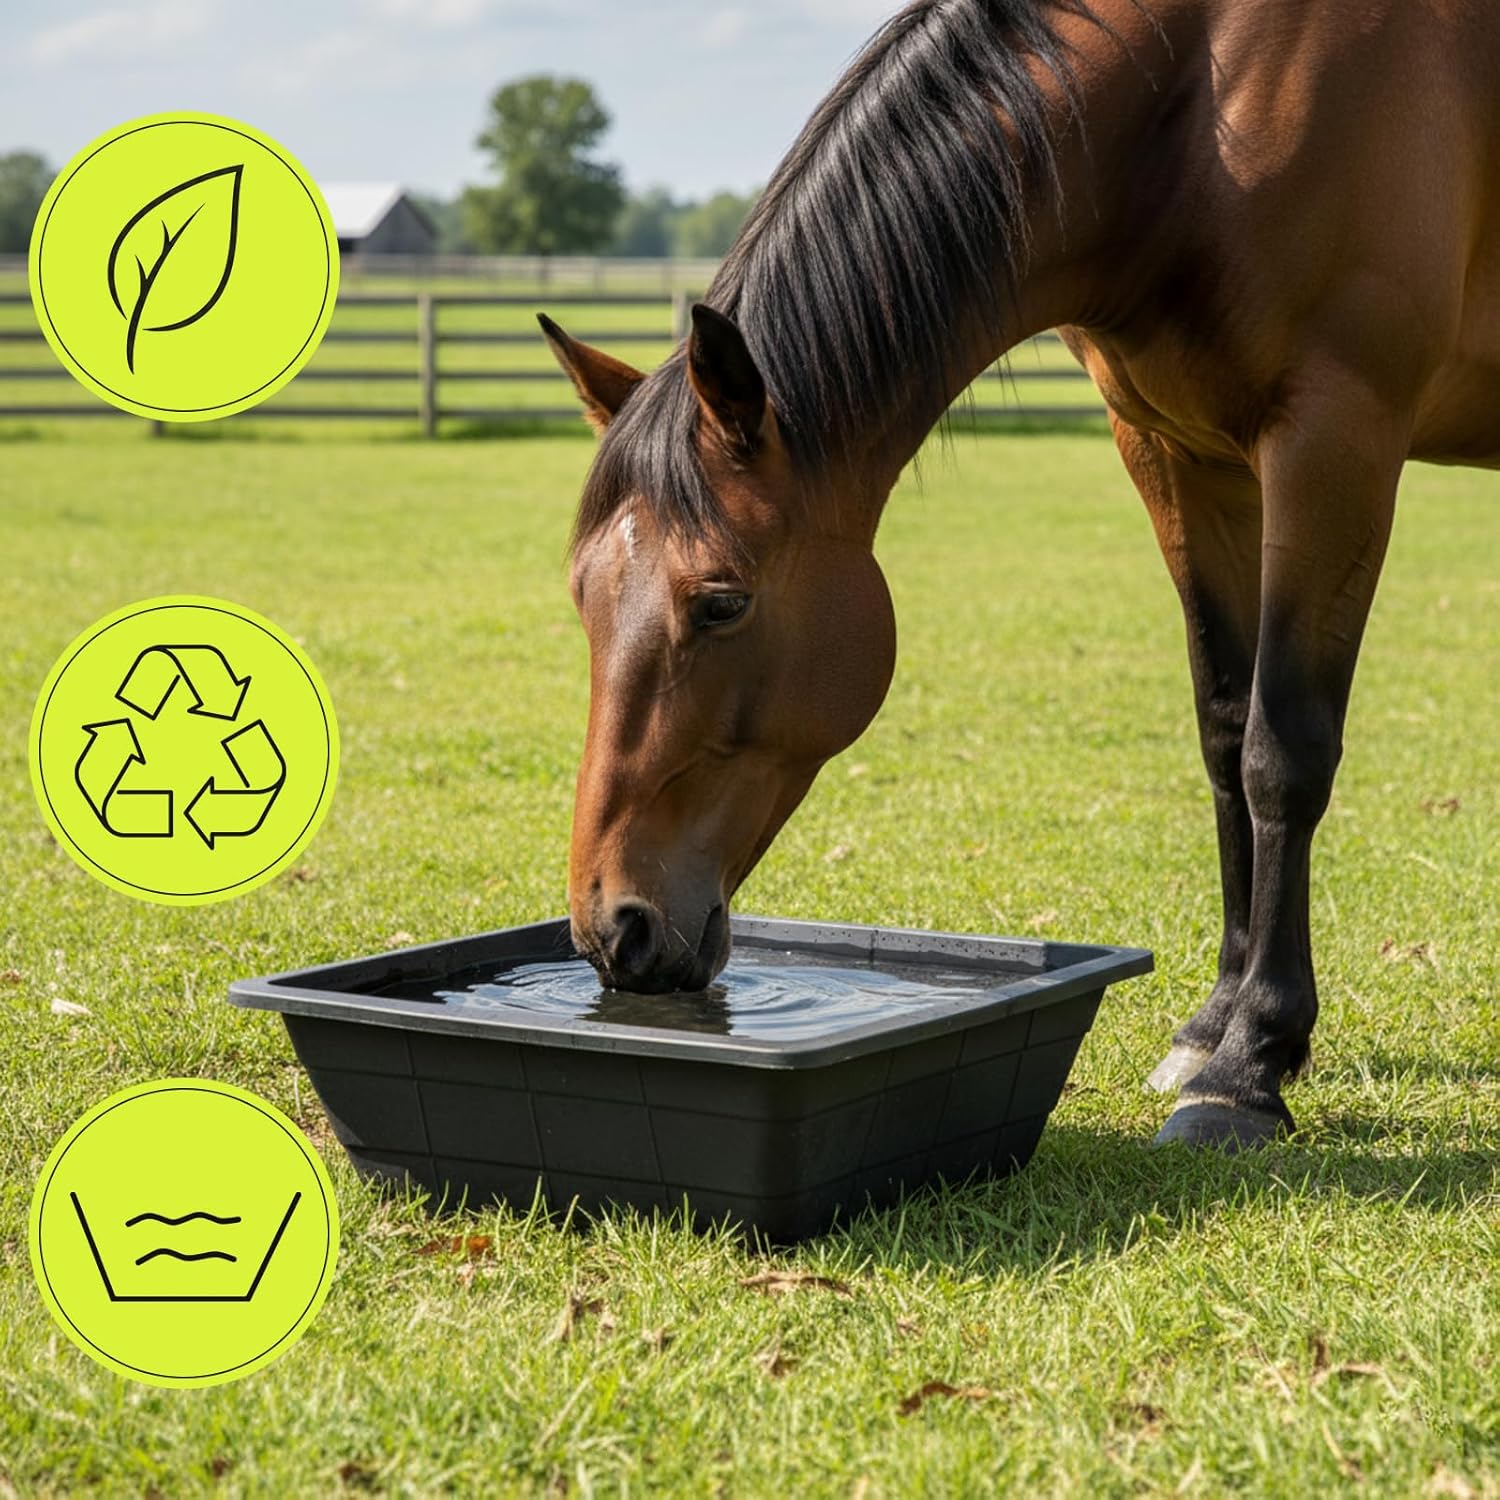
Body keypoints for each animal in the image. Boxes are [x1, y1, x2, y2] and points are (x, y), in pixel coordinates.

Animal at [539, 0, 1499, 1149]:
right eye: (582, 600)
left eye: (719, 603)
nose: (615, 929)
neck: (1203, 106)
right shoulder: (1180, 455)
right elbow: (1225, 733)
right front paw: (1211, 1028)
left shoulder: (1335, 443)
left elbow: (1283, 752)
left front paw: (1252, 1064)